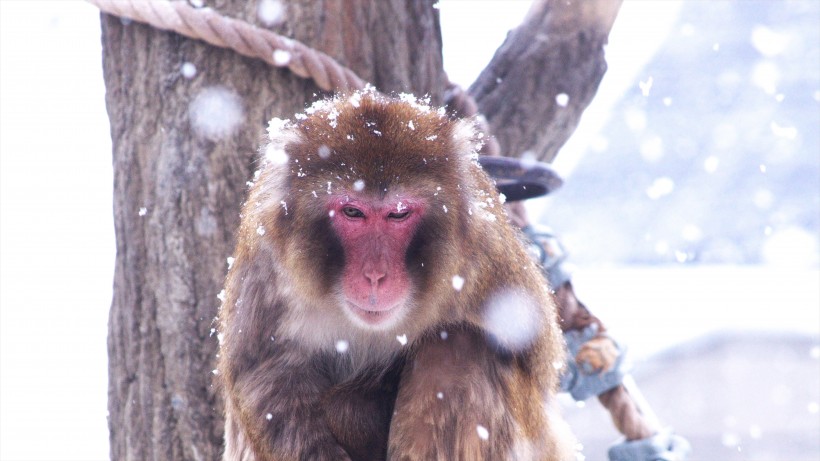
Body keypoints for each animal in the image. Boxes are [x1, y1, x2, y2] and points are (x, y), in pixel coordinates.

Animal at [219, 88, 576, 458]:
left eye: (399, 214)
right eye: (353, 212)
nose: (376, 275)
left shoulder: (486, 255)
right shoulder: (265, 260)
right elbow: (265, 376)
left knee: (457, 351)